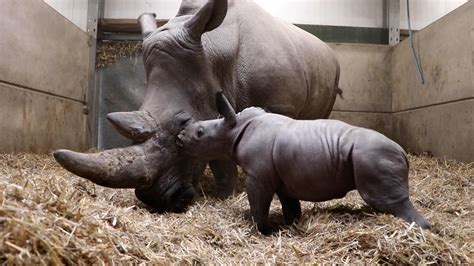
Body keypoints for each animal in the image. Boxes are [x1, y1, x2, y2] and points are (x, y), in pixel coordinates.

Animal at [52, 0, 340, 212]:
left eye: (182, 125)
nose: (156, 201)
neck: (215, 54)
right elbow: (219, 158)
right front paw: (225, 194)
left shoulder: (278, 104)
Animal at [177, 92, 430, 234]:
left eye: (200, 133)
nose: (179, 137)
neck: (234, 128)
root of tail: (403, 153)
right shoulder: (282, 179)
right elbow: (290, 206)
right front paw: (291, 226)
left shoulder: (257, 176)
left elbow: (258, 205)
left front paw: (260, 231)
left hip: (374, 155)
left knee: (385, 199)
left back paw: (421, 229)